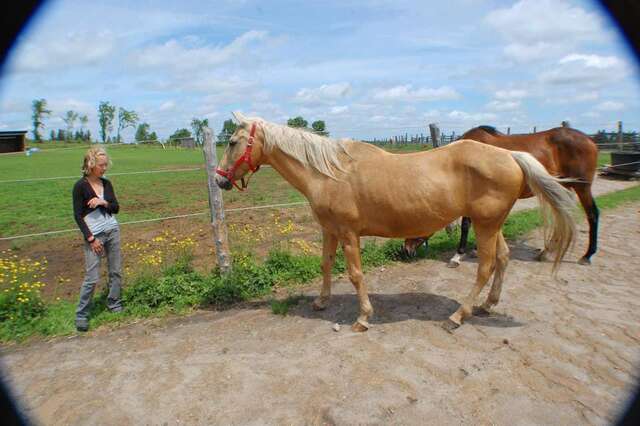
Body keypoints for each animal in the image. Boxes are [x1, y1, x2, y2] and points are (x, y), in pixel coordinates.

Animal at [215, 113, 576, 332]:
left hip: (485, 225)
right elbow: (326, 264)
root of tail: (509, 155)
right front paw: (321, 301)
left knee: (486, 266)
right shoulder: (329, 230)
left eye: (232, 142)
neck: (329, 173)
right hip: (492, 225)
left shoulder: (348, 233)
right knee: (502, 258)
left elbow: (355, 274)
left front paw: (363, 317)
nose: (218, 179)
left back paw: (459, 315)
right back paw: (487, 305)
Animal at [404, 125, 599, 267]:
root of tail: (590, 140)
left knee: (592, 215)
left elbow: (467, 225)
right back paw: (545, 252)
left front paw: (458, 255)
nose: (405, 250)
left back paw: (587, 255)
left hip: (582, 188)